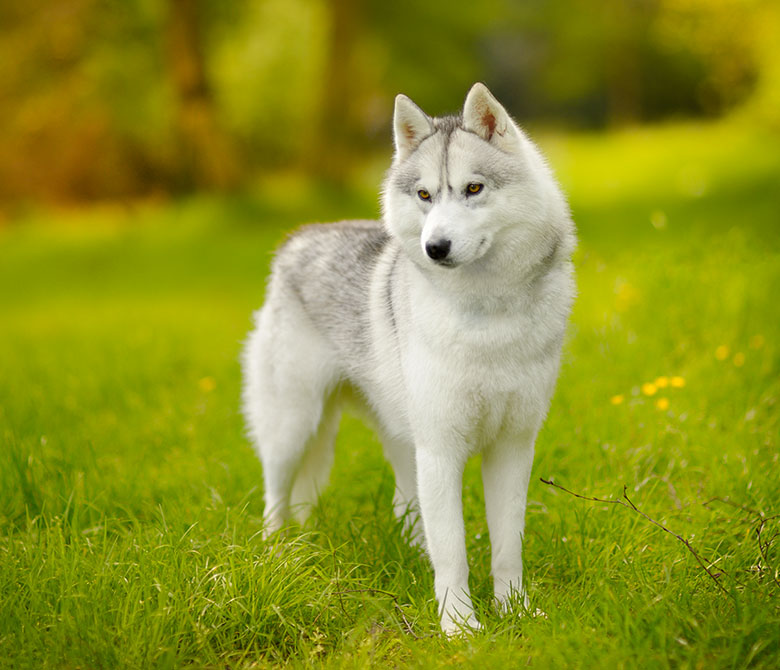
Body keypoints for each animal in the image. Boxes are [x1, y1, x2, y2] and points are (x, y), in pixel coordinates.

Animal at [241, 82, 576, 636]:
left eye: (473, 189)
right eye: (424, 195)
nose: (435, 247)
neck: (487, 315)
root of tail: (297, 238)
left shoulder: (512, 447)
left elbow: (507, 546)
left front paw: (514, 611)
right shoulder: (441, 450)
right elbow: (455, 551)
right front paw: (460, 627)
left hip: (398, 440)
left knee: (401, 507)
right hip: (294, 426)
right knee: (275, 500)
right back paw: (279, 556)